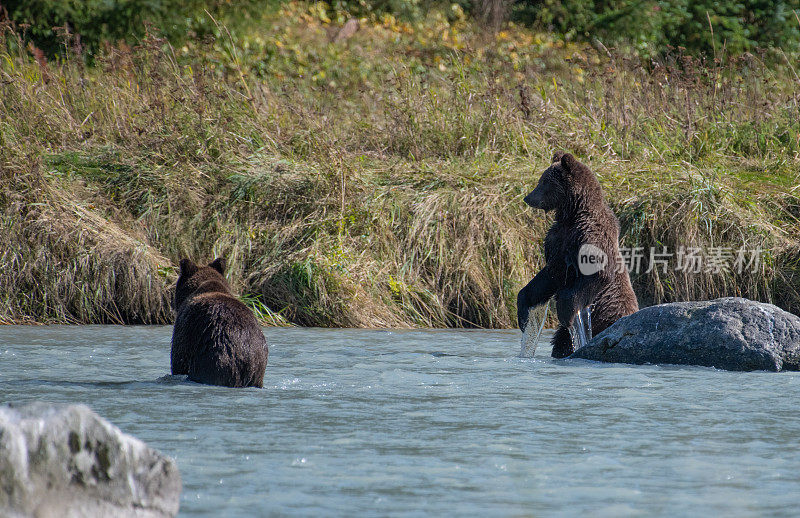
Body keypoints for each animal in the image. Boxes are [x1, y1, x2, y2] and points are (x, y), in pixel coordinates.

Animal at [520, 152, 636, 360]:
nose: (528, 197)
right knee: (562, 342)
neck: (572, 213)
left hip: (608, 317)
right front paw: (523, 308)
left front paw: (566, 310)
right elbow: (549, 276)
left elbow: (596, 272)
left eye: (544, 182)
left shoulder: (589, 236)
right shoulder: (558, 241)